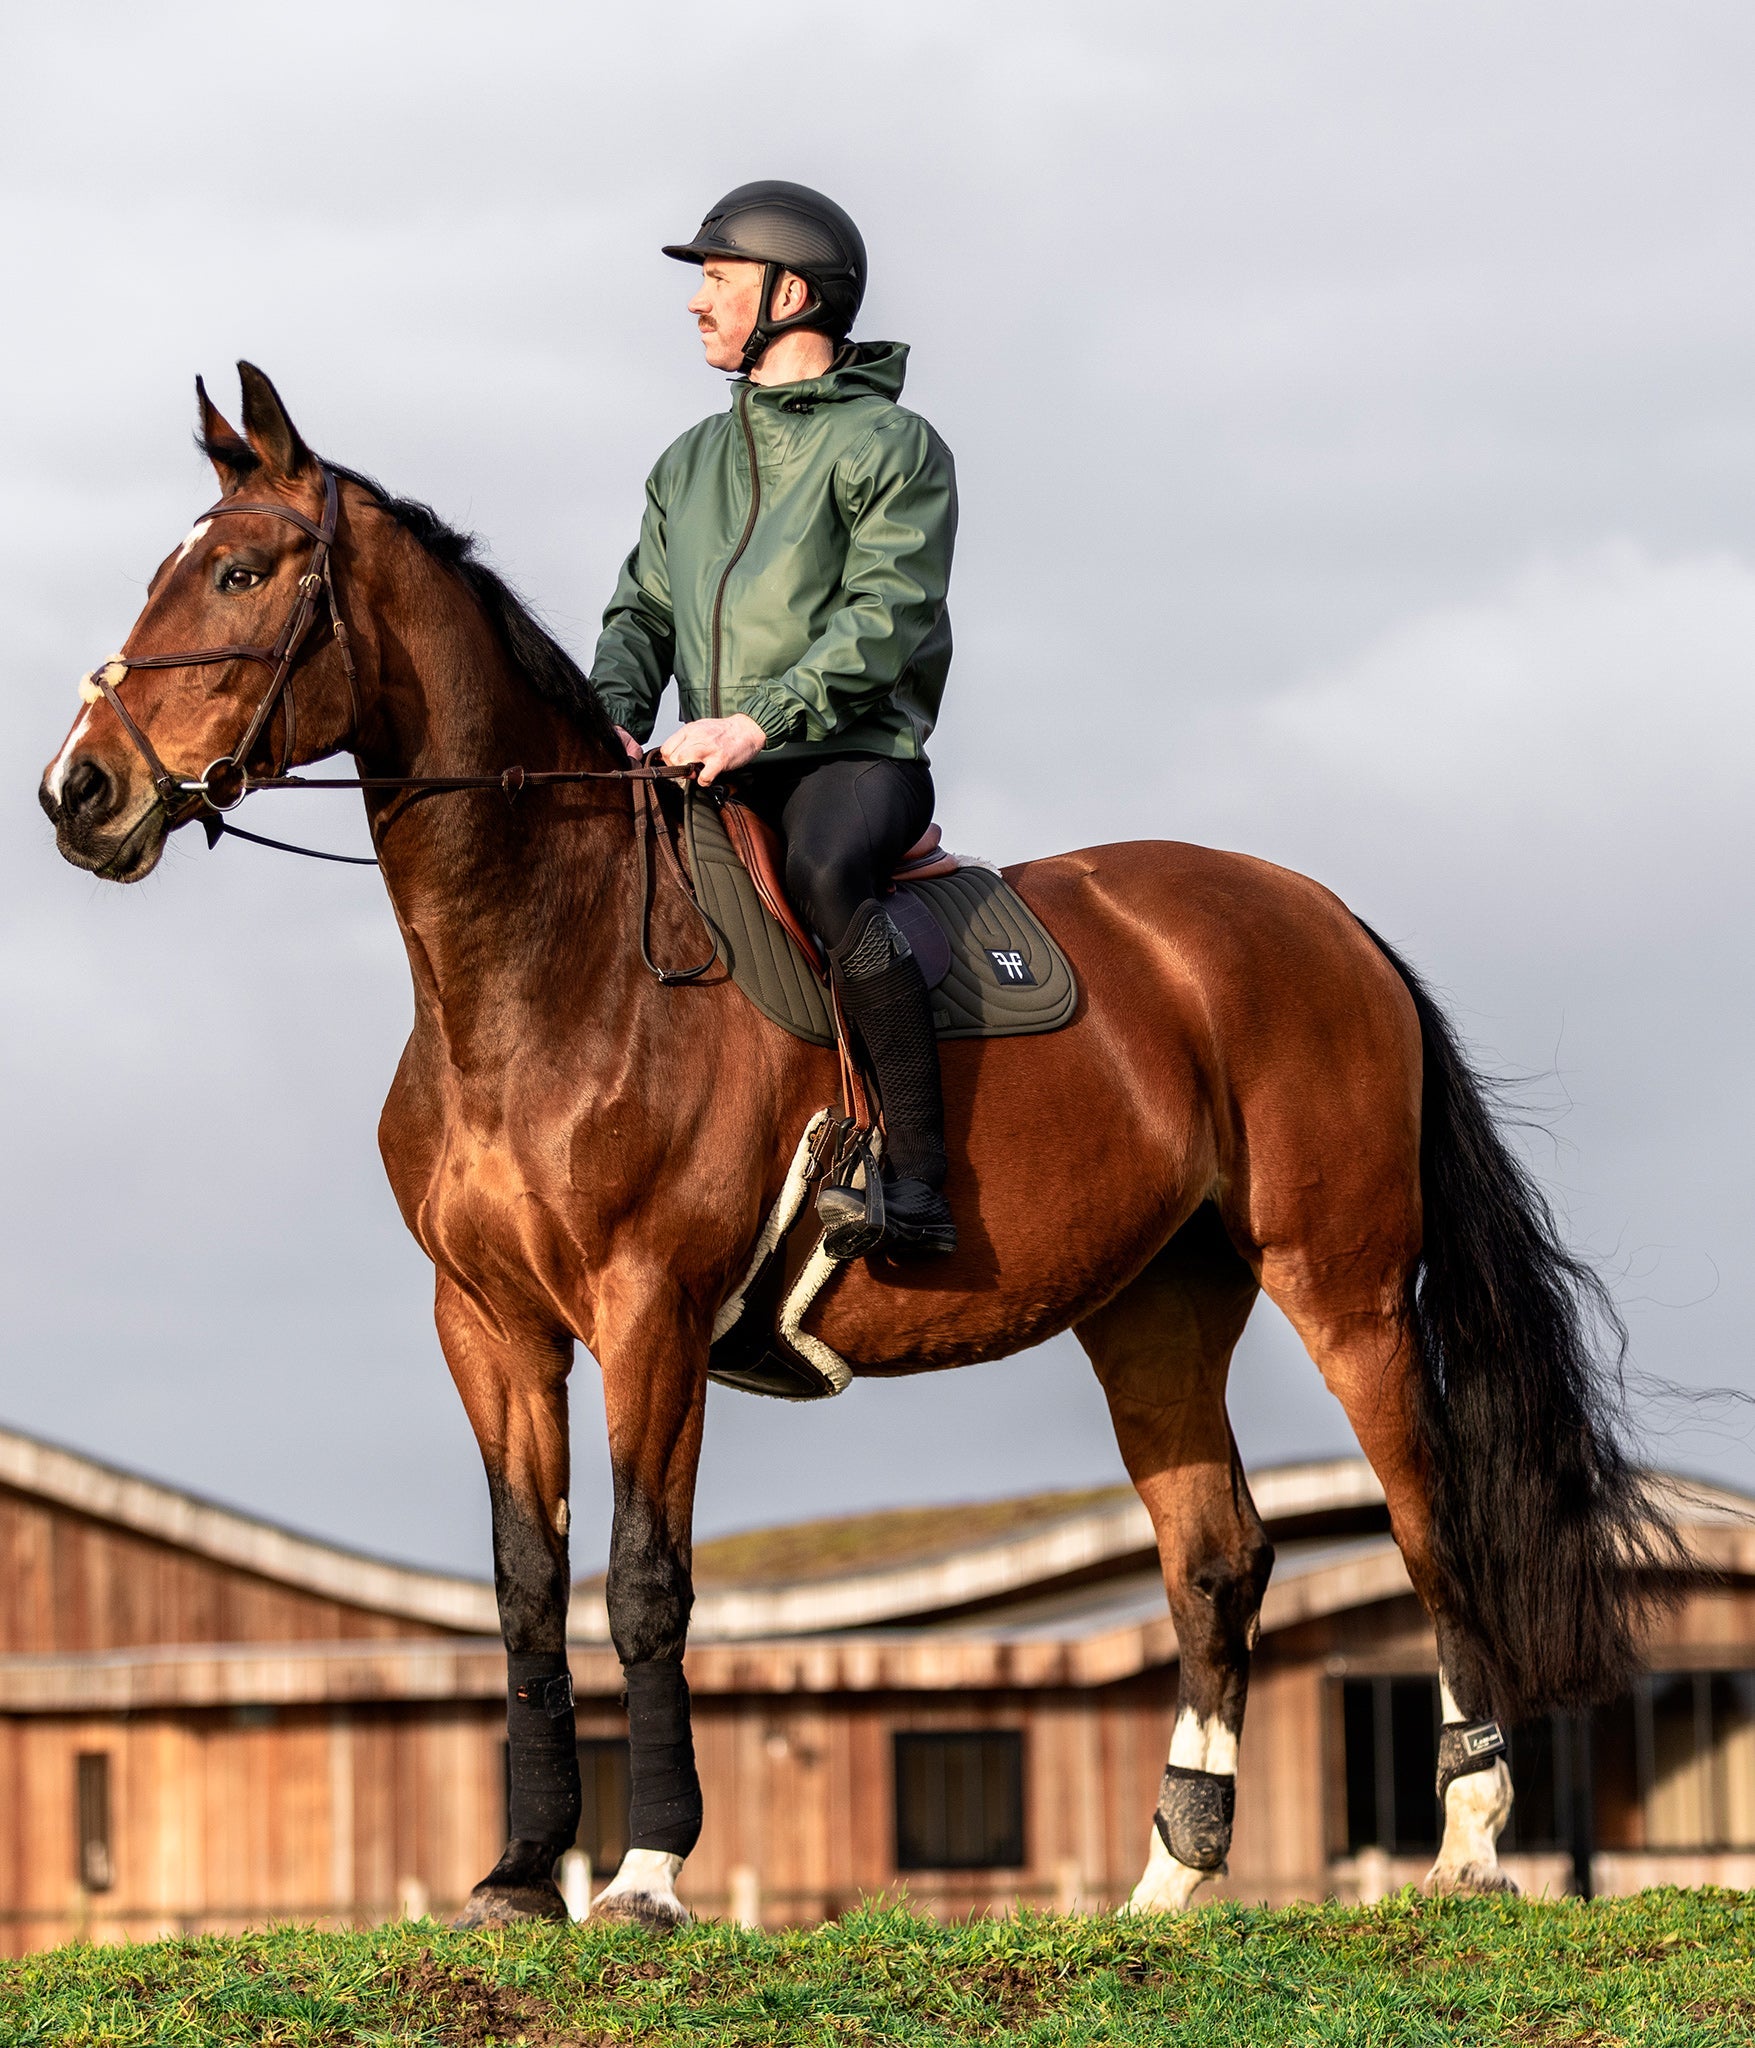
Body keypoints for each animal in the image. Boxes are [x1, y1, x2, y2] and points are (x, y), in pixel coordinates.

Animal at [39, 365, 1675, 1928]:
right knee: (1215, 1558)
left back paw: (1466, 1845)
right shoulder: (489, 1325)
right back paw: (1166, 1885)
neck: (548, 955)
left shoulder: (647, 1310)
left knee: (1424, 1520)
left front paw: (645, 1876)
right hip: (1151, 1313)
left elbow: (645, 1584)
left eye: (241, 572)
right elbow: (525, 1591)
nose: (79, 792)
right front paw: (517, 1874)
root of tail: (1323, 916)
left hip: (1340, 1287)